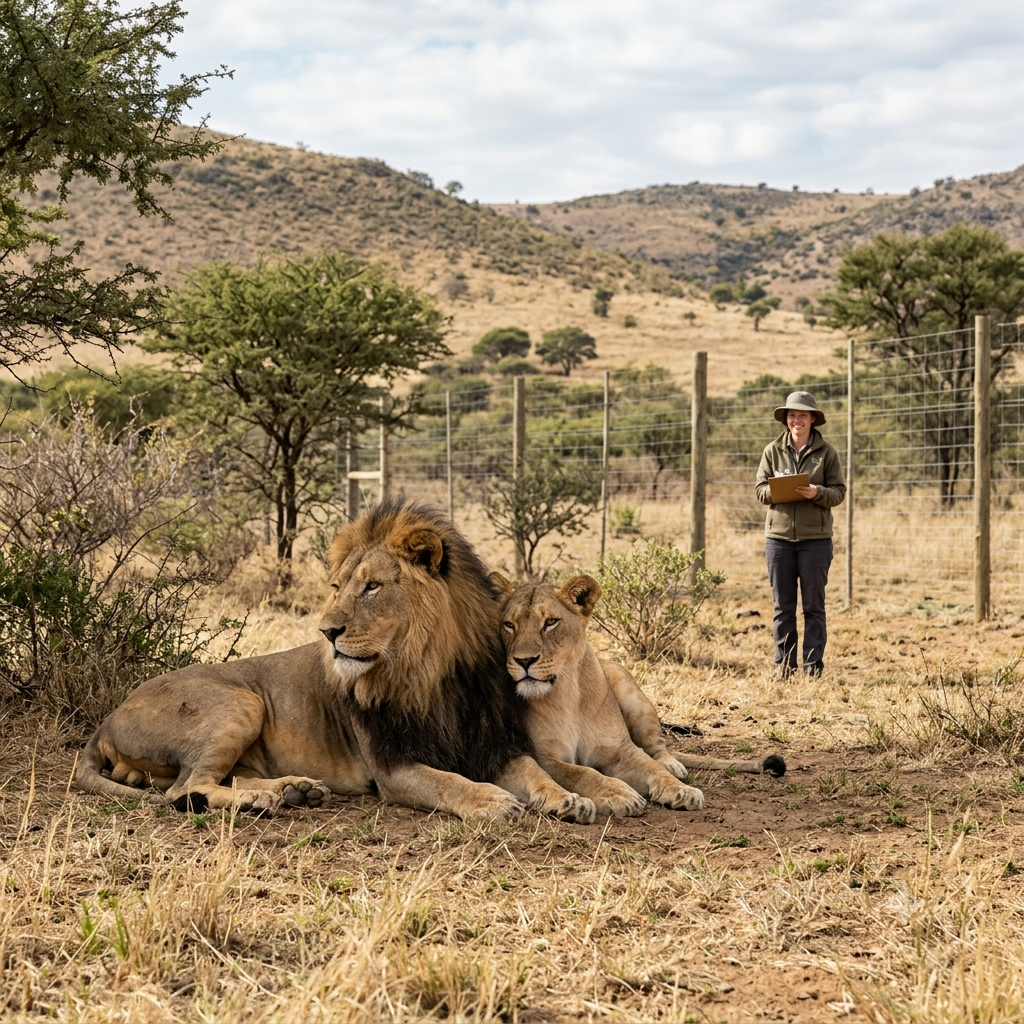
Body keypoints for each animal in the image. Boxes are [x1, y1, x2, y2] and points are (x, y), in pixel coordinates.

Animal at [76, 499, 595, 823]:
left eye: (371, 587)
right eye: (336, 586)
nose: (326, 632)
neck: (430, 672)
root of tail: (107, 720)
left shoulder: (493, 744)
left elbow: (535, 773)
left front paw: (570, 799)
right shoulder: (392, 767)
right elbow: (448, 782)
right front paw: (494, 800)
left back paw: (294, 790)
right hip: (239, 702)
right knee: (184, 789)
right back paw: (262, 800)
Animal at [493, 573, 785, 818]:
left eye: (551, 622)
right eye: (509, 625)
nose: (524, 661)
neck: (567, 694)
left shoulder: (621, 750)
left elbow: (650, 766)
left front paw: (681, 790)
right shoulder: (543, 757)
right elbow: (583, 772)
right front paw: (618, 793)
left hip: (632, 694)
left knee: (656, 747)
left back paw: (673, 766)